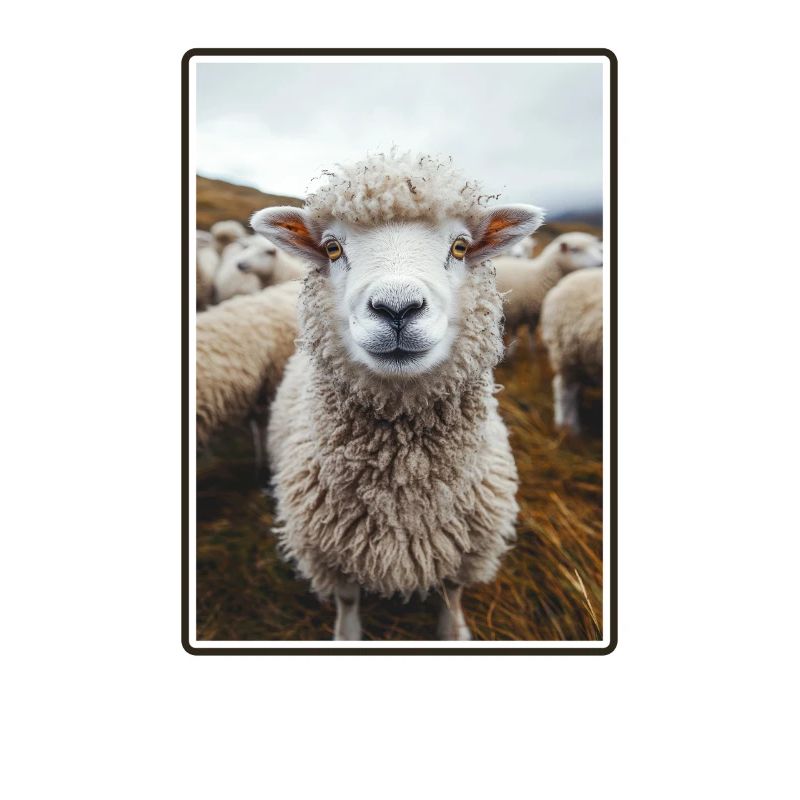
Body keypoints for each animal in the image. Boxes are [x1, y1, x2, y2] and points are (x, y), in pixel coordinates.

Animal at [251, 150, 544, 640]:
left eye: (460, 246)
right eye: (332, 248)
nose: (397, 309)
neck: (402, 480)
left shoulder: (464, 547)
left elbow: (452, 594)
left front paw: (453, 632)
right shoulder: (331, 551)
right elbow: (348, 600)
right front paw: (347, 635)